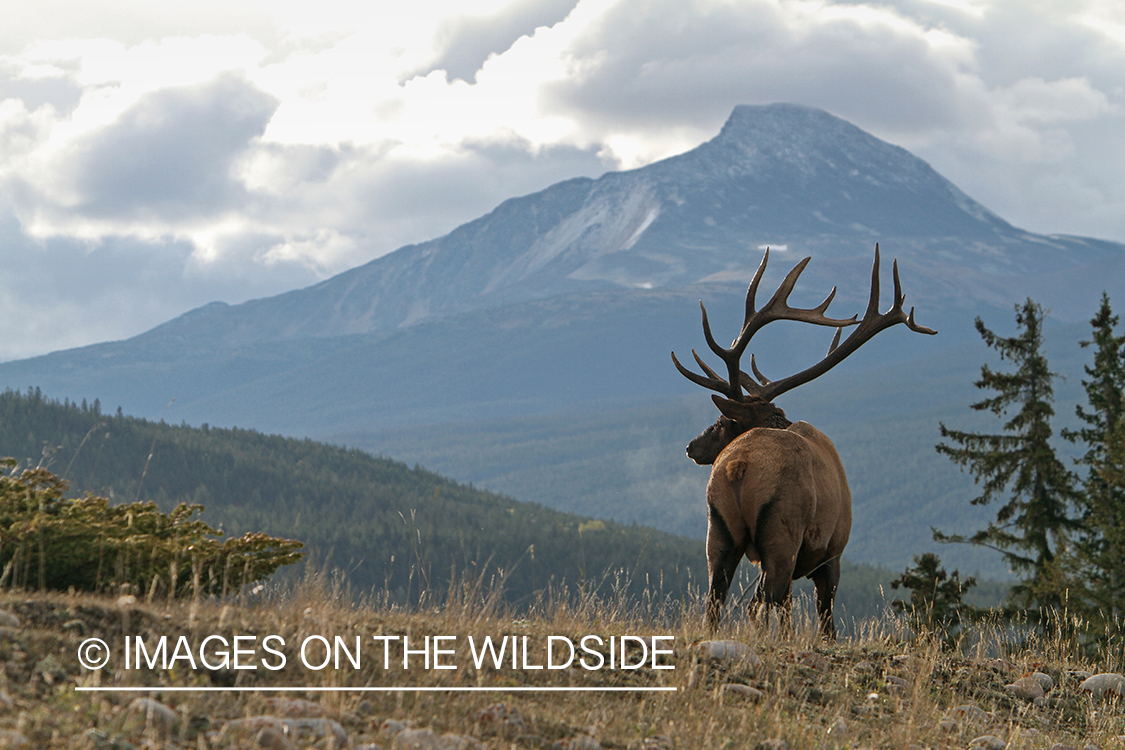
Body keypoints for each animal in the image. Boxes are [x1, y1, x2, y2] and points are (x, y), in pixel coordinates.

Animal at [670, 246, 936, 638]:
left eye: (722, 422)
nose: (691, 447)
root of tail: (738, 466)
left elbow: (782, 609)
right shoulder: (832, 552)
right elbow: (825, 618)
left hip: (718, 529)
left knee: (717, 600)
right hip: (783, 533)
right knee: (764, 599)